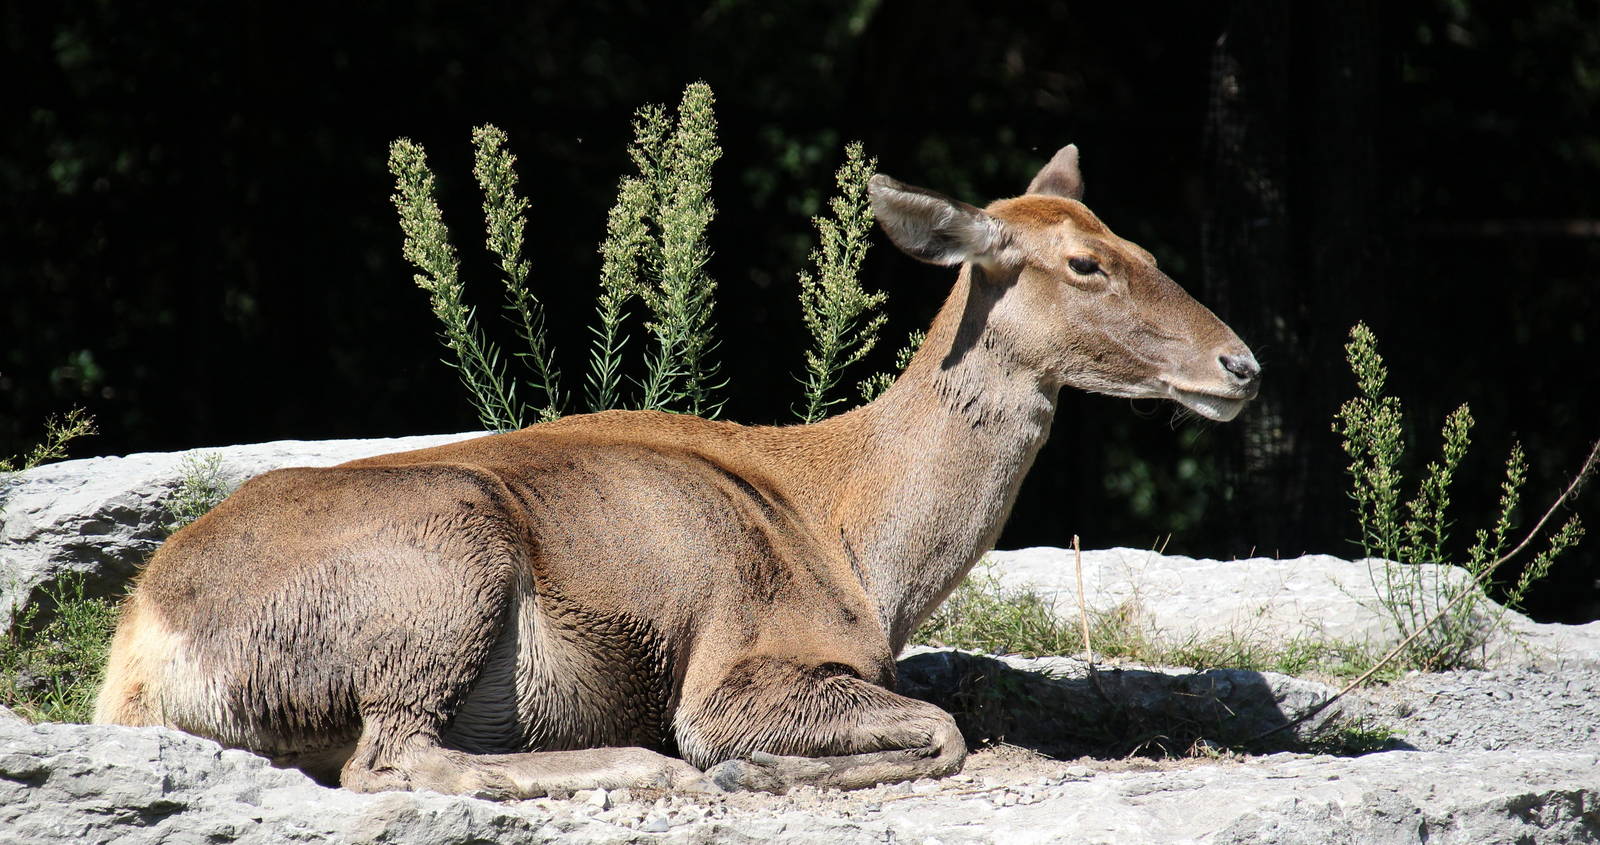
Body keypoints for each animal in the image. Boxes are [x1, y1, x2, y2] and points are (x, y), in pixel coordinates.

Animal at [95, 144, 1260, 797]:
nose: (1240, 364)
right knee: (391, 756)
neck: (867, 554)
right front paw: (746, 766)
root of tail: (140, 650)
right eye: (1085, 263)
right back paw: (646, 768)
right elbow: (942, 730)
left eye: (1145, 248)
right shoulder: (740, 659)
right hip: (438, 565)